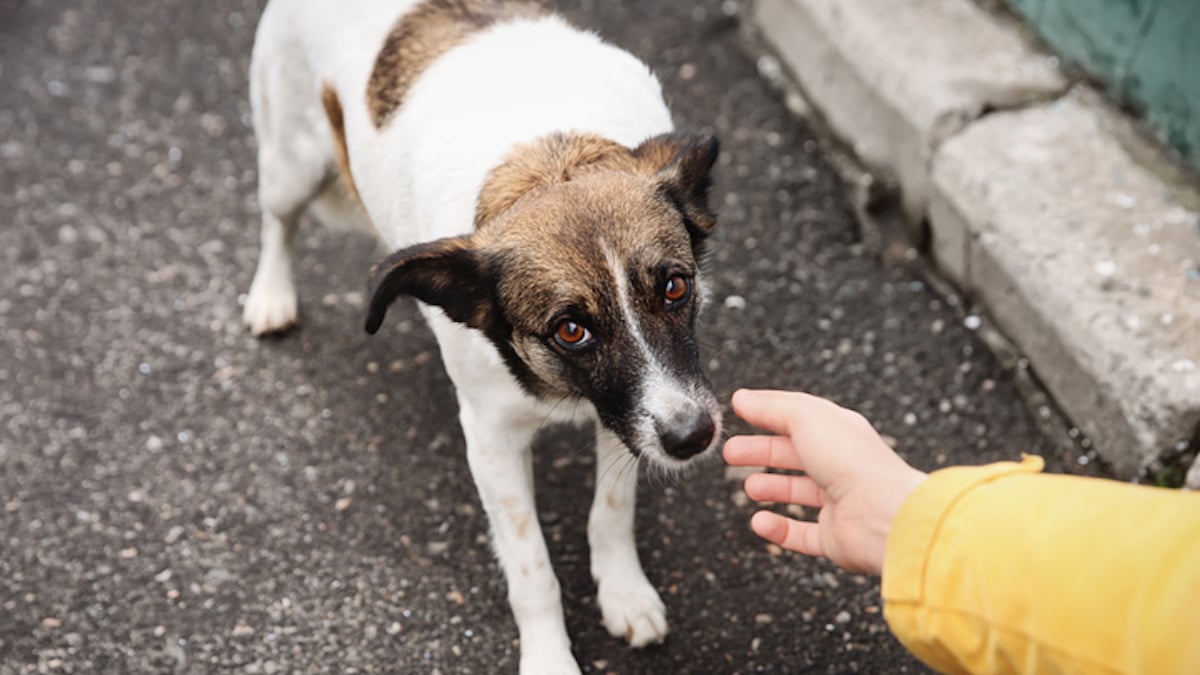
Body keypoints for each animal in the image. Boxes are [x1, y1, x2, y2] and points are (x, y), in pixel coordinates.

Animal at [243, 1, 720, 667]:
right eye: (570, 329)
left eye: (675, 287)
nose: (692, 438)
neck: (547, 166)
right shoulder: (493, 442)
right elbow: (531, 568)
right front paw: (549, 658)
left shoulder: (630, 411)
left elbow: (612, 509)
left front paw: (623, 591)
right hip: (290, 161)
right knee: (277, 221)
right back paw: (271, 294)